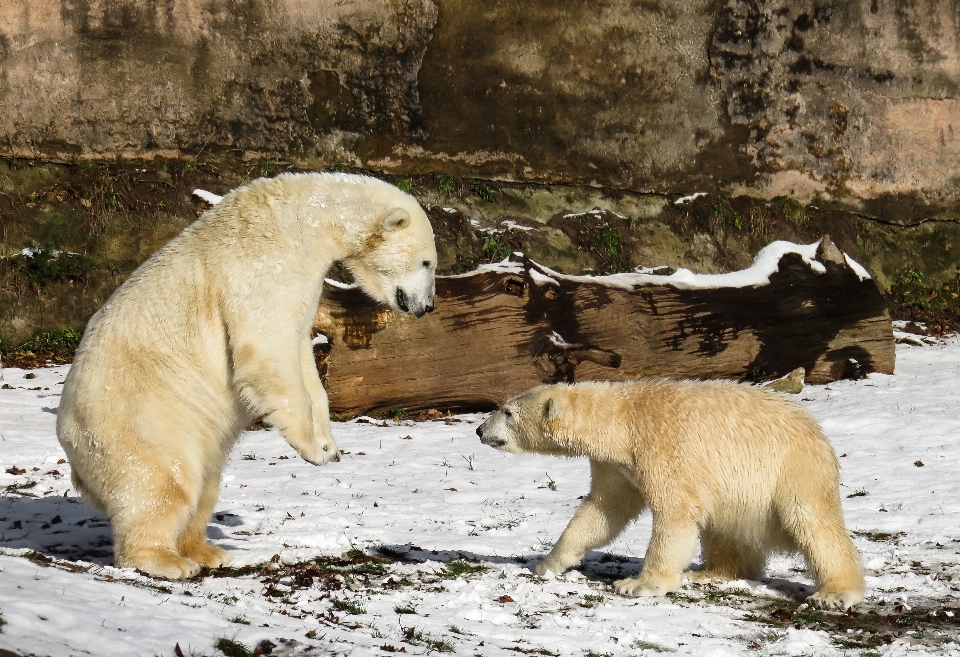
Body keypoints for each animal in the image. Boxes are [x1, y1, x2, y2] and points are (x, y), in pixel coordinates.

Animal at [58, 173, 436, 580]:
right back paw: (167, 560)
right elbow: (267, 346)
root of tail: (71, 446)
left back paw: (207, 550)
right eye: (427, 261)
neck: (303, 220)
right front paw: (311, 450)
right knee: (163, 481)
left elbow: (302, 356)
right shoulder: (262, 268)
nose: (427, 306)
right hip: (142, 418)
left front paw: (330, 446)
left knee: (206, 483)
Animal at [476, 380, 868, 608]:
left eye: (507, 411)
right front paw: (548, 563)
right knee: (724, 527)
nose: (479, 429)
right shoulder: (617, 465)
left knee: (812, 522)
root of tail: (818, 432)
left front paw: (639, 585)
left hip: (790, 470)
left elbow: (675, 512)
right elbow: (604, 510)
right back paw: (710, 572)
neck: (623, 420)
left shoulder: (664, 446)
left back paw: (835, 594)